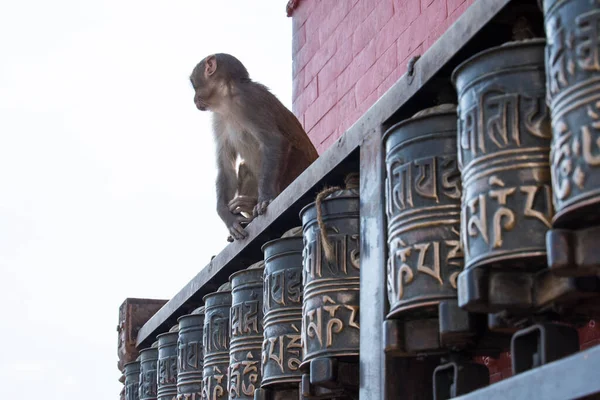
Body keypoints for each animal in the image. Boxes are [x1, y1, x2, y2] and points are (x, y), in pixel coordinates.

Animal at [191, 53, 318, 241]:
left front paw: (265, 198)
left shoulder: (249, 100)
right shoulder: (219, 119)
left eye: (193, 85)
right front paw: (228, 217)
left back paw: (252, 203)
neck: (228, 99)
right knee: (244, 168)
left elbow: (274, 140)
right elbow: (226, 167)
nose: (194, 99)